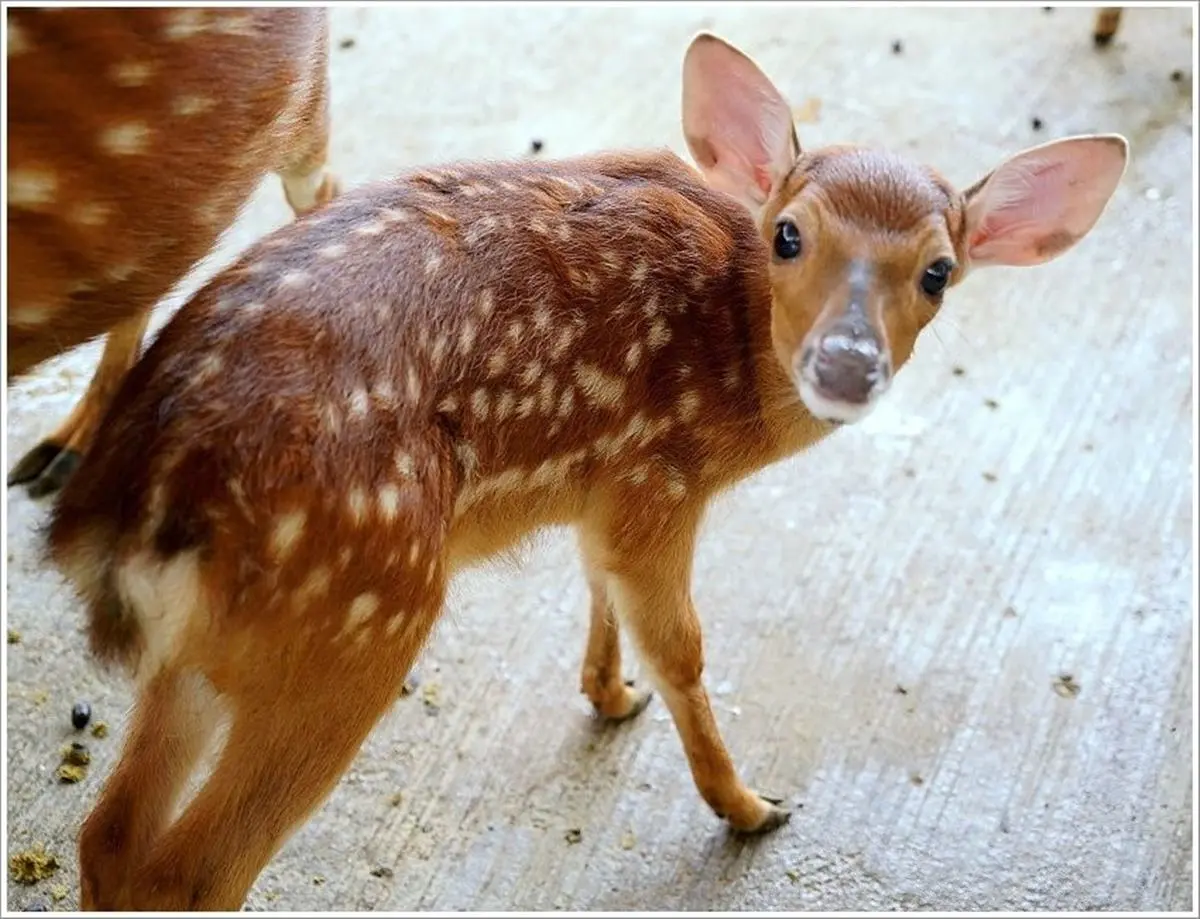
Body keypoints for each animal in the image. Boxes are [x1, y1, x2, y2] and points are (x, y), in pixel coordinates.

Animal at [43, 30, 1128, 911]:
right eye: (790, 233)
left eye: (939, 272)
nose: (847, 366)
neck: (735, 357)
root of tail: (133, 504)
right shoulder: (663, 481)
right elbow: (682, 646)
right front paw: (747, 804)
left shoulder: (604, 486)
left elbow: (597, 585)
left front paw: (609, 693)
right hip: (351, 622)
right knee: (192, 873)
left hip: (211, 650)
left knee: (109, 841)